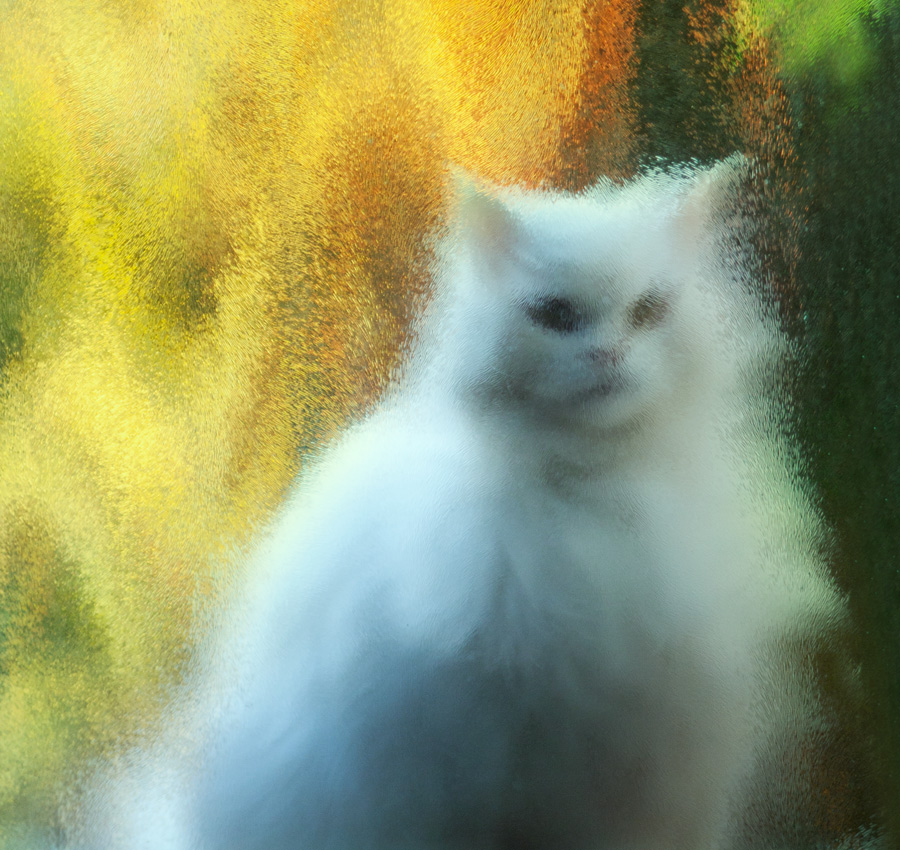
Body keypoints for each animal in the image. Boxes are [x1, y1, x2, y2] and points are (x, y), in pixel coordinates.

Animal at [72, 161, 844, 848]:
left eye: (649, 311)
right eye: (554, 315)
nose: (608, 357)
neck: (594, 503)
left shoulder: (650, 778)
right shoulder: (500, 771)